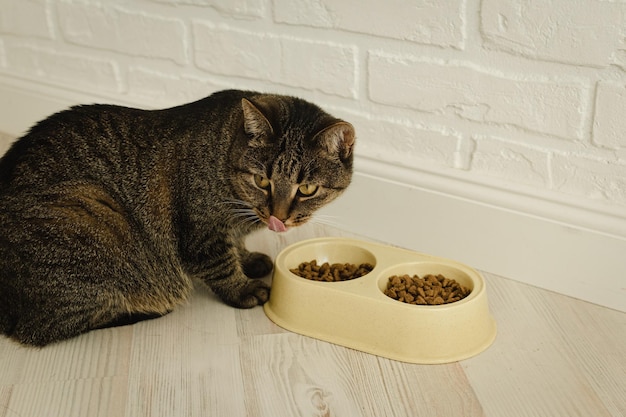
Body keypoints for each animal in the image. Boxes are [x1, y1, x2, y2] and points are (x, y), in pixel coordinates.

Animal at [0, 90, 354, 344]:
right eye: (262, 181)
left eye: (306, 188)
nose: (278, 217)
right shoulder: (202, 233)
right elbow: (222, 266)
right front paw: (242, 288)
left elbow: (236, 249)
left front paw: (248, 259)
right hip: (94, 215)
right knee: (47, 328)